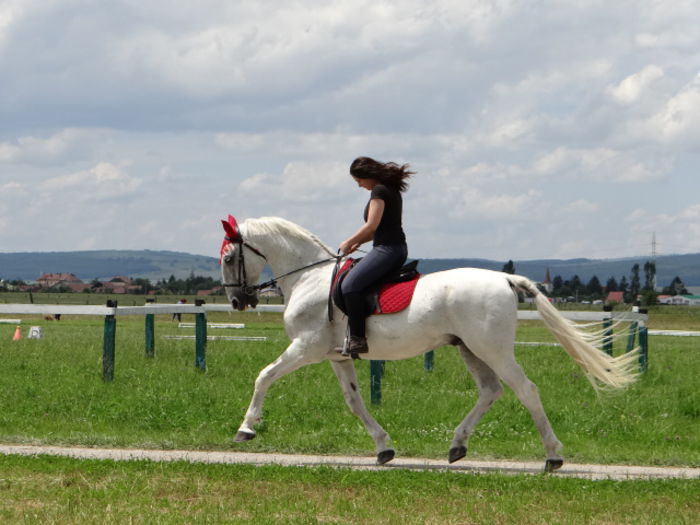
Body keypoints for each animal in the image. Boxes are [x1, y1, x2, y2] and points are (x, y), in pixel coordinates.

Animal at [220, 215, 640, 468]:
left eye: (227, 258)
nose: (239, 302)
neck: (309, 278)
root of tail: (506, 279)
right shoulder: (337, 358)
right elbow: (355, 403)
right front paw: (384, 448)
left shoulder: (305, 349)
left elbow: (264, 376)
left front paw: (246, 429)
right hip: (470, 349)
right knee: (491, 391)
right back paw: (457, 446)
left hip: (491, 349)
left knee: (525, 390)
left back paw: (552, 456)